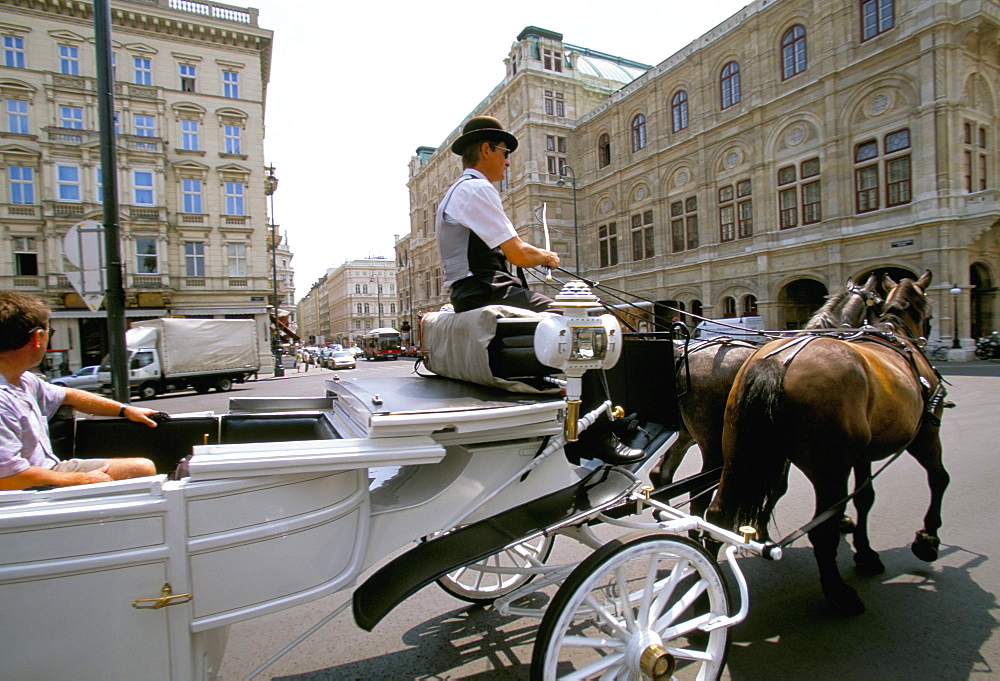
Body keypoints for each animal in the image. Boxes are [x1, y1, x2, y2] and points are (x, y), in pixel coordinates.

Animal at [708, 270, 948, 616]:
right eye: (927, 310)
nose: (927, 339)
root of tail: (779, 362)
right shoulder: (925, 432)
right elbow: (939, 479)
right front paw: (927, 539)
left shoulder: (859, 455)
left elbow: (863, 498)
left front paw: (865, 551)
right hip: (829, 469)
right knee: (823, 529)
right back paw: (838, 593)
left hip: (736, 453)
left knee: (716, 514)